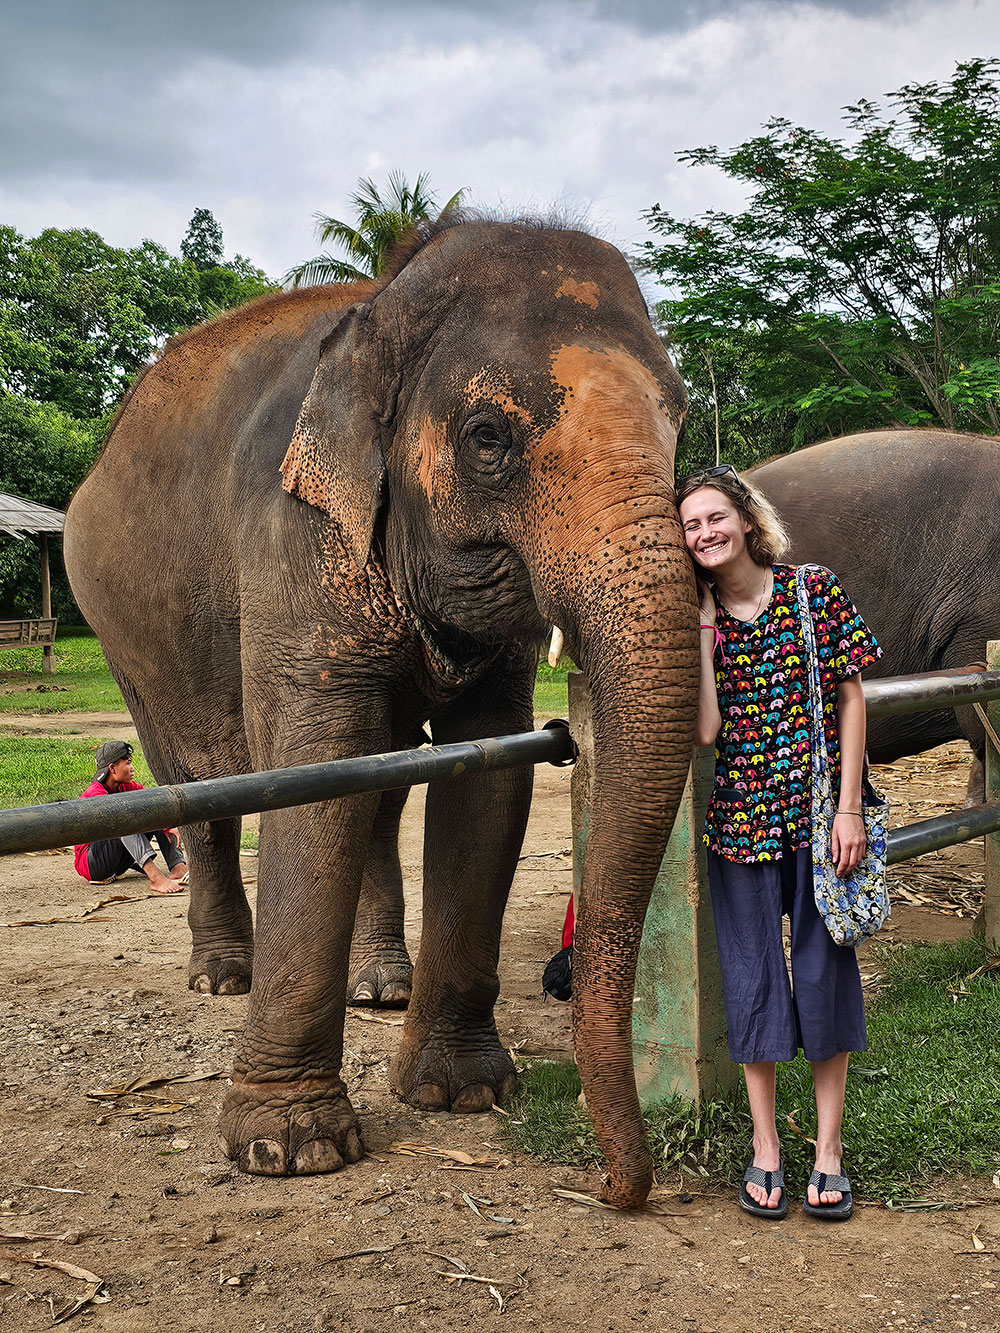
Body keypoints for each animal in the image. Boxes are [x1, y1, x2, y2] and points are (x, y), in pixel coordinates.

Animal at [64, 219, 698, 1209]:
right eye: (487, 436)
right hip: (126, 637)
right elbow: (315, 770)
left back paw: (380, 987)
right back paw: (222, 975)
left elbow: (486, 775)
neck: (380, 307)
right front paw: (290, 1146)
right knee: (198, 788)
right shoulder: (289, 533)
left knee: (379, 785)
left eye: (679, 428)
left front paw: (463, 1092)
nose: (620, 1190)